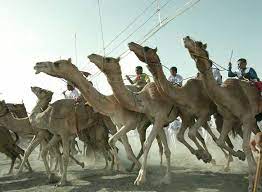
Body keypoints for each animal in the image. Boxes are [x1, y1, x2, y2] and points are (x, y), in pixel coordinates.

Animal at [87, 53, 180, 185]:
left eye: (108, 59)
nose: (91, 55)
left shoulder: (143, 120)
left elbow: (145, 144)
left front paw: (141, 178)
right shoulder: (155, 120)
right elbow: (119, 143)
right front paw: (166, 178)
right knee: (161, 146)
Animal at [183, 36, 260, 192]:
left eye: (199, 44)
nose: (186, 38)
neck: (227, 95)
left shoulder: (247, 117)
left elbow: (245, 145)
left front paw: (251, 182)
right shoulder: (230, 119)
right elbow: (220, 141)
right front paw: (241, 158)